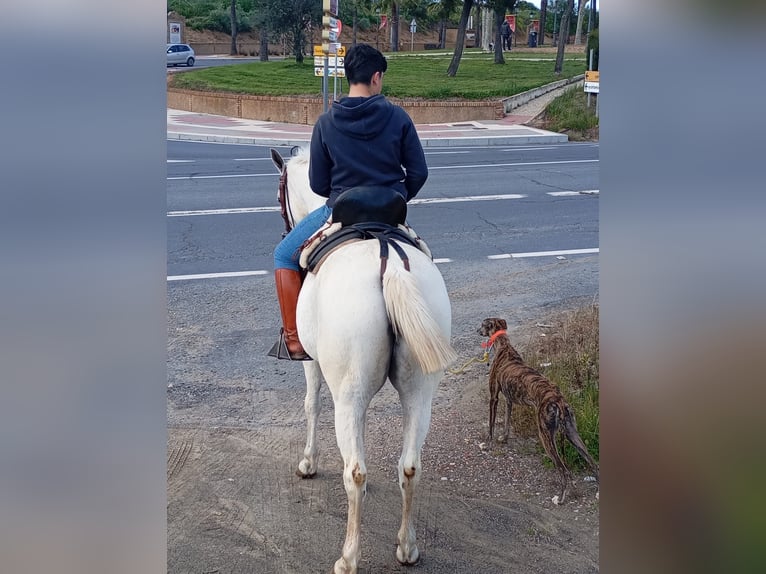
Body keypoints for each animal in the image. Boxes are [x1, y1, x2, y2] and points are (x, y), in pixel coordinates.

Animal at [270, 147, 456, 574]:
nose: (284, 228)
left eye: (278, 195)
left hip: (349, 391)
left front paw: (308, 463)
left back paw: (348, 558)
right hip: (419, 393)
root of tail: (387, 257)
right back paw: (407, 548)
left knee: (354, 472)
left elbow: (311, 405)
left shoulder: (314, 365)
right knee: (410, 466)